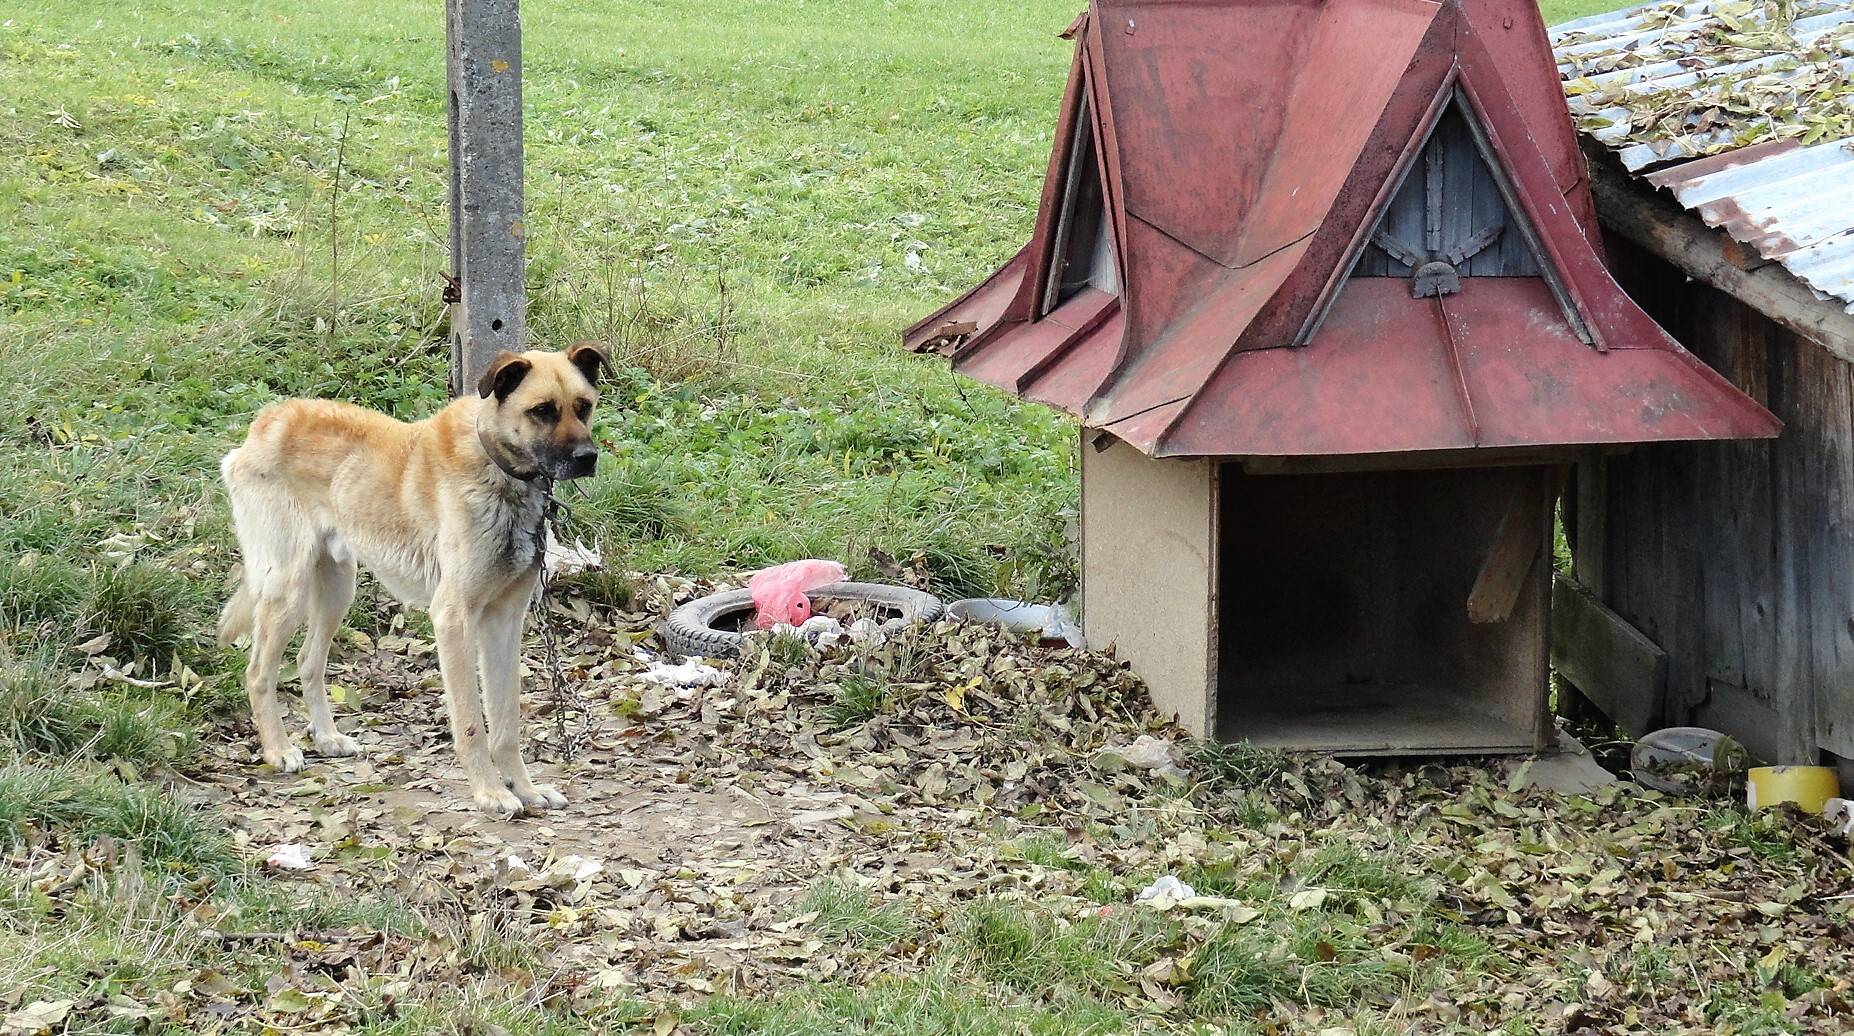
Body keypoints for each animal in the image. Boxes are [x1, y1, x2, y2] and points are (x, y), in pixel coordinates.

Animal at [218, 344, 608, 815]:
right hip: (287, 590)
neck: (497, 467)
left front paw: (525, 789)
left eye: (583, 406)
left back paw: (327, 738)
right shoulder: (454, 619)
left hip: (338, 588)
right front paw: (490, 792)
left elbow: (506, 723)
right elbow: (472, 723)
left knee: (309, 662)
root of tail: (267, 420)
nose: (588, 458)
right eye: (542, 410)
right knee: (259, 673)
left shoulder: (505, 622)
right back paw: (278, 750)